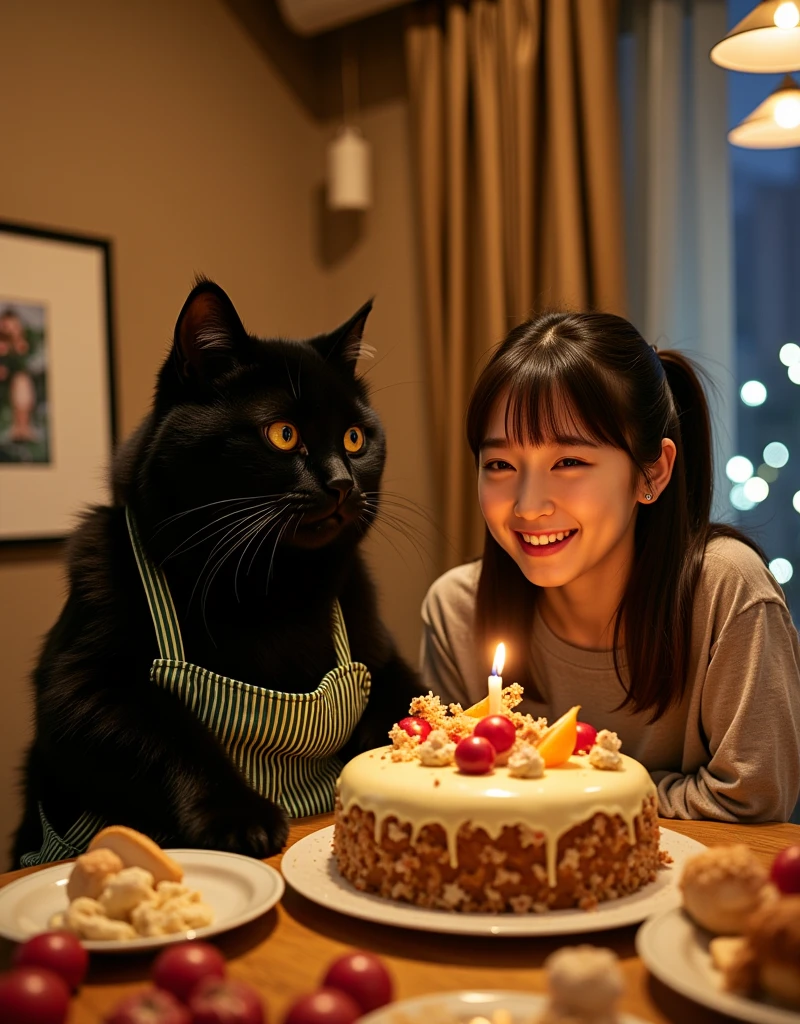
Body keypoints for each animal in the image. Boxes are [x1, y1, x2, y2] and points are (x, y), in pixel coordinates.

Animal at [10, 278, 417, 864]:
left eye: (355, 439)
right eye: (283, 434)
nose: (343, 483)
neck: (267, 589)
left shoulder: (386, 661)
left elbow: (402, 700)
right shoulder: (79, 686)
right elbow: (172, 734)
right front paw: (238, 816)